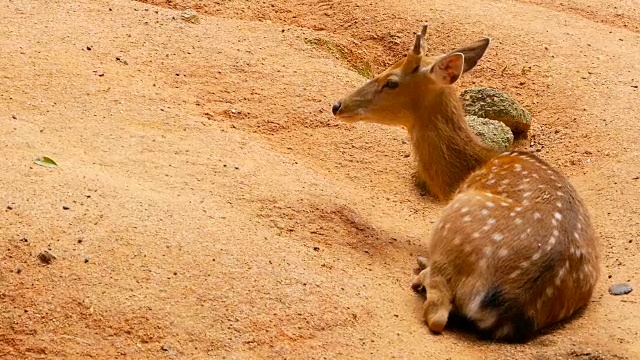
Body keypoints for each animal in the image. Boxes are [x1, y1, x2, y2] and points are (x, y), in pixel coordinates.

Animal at [330, 24, 600, 340]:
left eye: (391, 82)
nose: (337, 105)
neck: (471, 167)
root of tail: (508, 304)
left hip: (455, 224)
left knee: (436, 314)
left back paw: (422, 272)